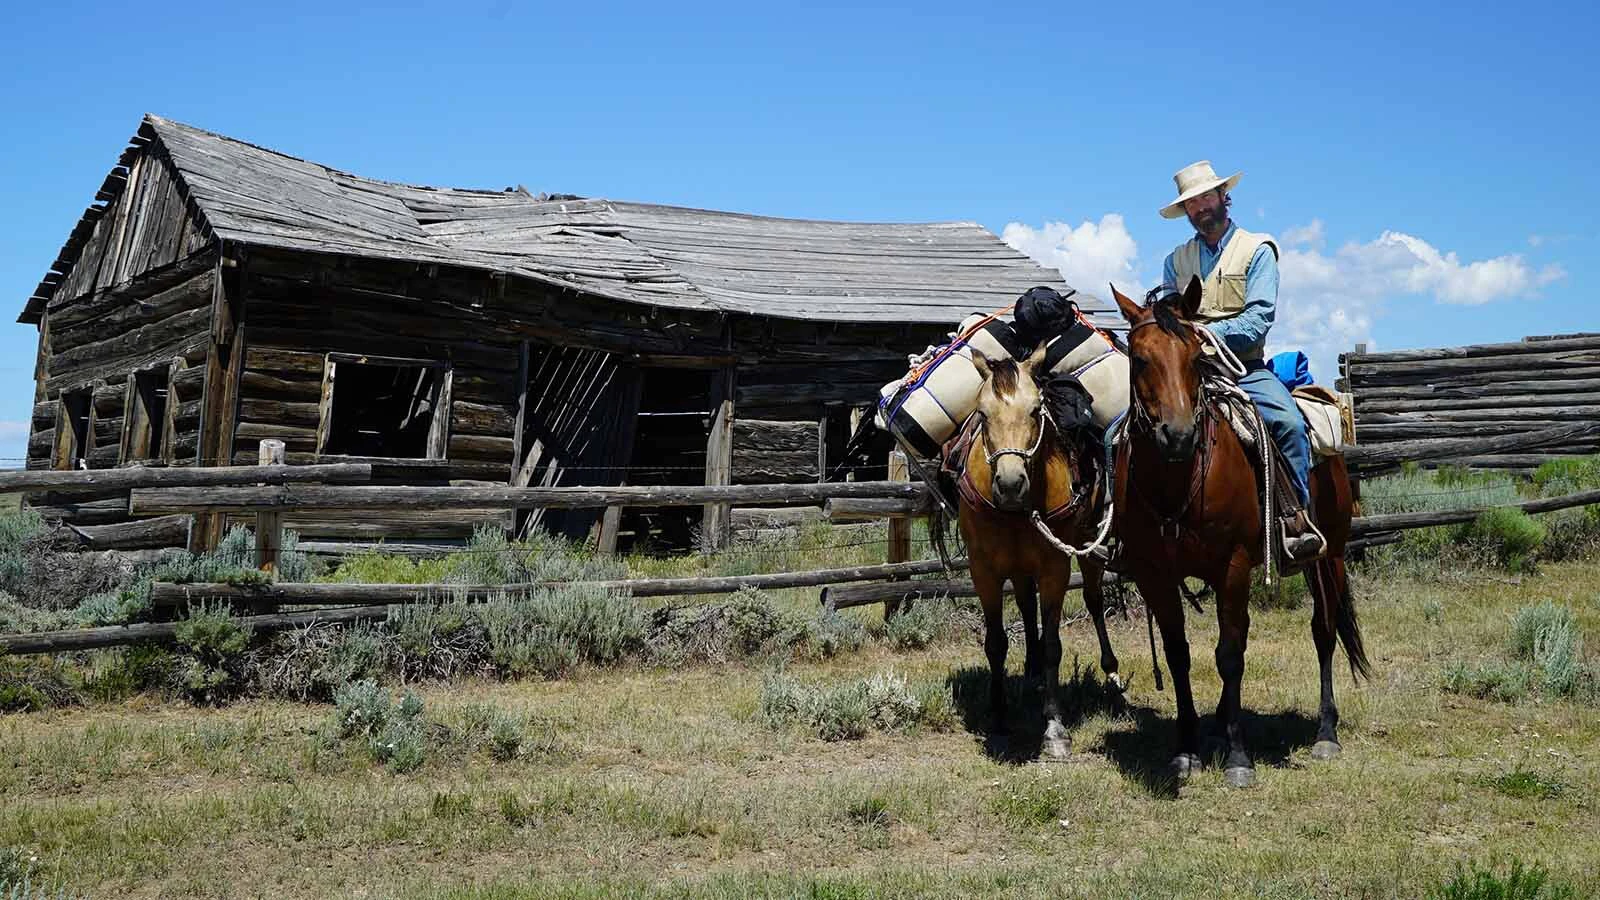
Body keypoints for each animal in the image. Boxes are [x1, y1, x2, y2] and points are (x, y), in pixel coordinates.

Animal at [955, 347, 1122, 759]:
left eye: (1035, 410)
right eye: (982, 413)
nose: (1010, 483)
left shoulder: (1053, 568)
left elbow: (1052, 646)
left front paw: (1054, 729)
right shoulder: (984, 570)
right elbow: (996, 643)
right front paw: (999, 719)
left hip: (1088, 547)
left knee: (1094, 600)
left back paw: (1110, 672)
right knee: (1026, 606)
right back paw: (1030, 674)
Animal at [1108, 277, 1370, 787]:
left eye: (1196, 357)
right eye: (1140, 358)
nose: (1178, 436)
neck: (1177, 481)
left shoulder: (1233, 566)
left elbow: (1229, 655)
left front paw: (1238, 757)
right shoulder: (1155, 575)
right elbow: (1179, 654)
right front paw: (1186, 749)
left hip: (1328, 556)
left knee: (1324, 630)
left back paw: (1325, 733)